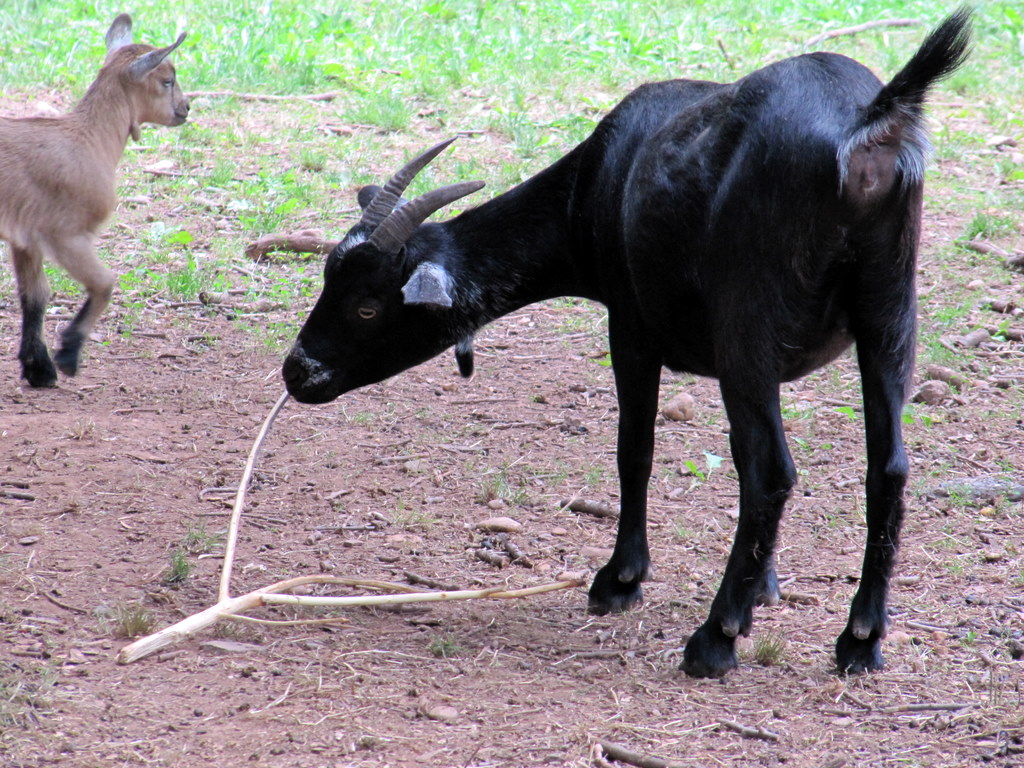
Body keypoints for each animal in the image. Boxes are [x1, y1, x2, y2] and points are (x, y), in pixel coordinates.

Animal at [0, 14, 189, 387]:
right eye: (167, 80)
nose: (185, 108)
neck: (90, 139)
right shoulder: (65, 233)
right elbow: (105, 283)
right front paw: (67, 355)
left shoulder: (25, 236)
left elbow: (35, 296)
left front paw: (38, 368)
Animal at [283, 10, 971, 678]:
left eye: (367, 305)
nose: (297, 372)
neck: (596, 183)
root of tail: (868, 123)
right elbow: (733, 453)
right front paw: (766, 589)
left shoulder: (631, 325)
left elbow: (635, 448)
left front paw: (621, 580)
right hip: (889, 309)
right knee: (887, 466)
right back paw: (860, 639)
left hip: (750, 312)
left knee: (773, 469)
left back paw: (713, 640)